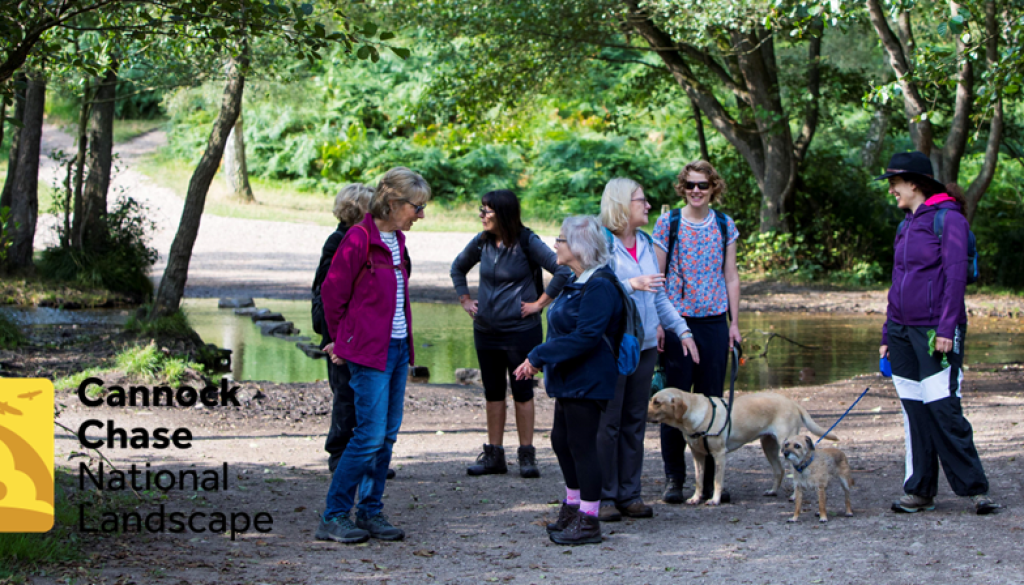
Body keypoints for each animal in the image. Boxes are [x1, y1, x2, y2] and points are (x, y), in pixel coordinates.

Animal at [647, 387, 839, 506]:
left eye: (657, 402)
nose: (644, 413)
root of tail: (794, 403)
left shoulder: (719, 455)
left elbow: (716, 481)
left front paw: (715, 500)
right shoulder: (698, 455)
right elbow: (699, 480)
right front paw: (695, 498)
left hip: (788, 445)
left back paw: (793, 495)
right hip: (768, 446)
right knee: (779, 470)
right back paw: (772, 491)